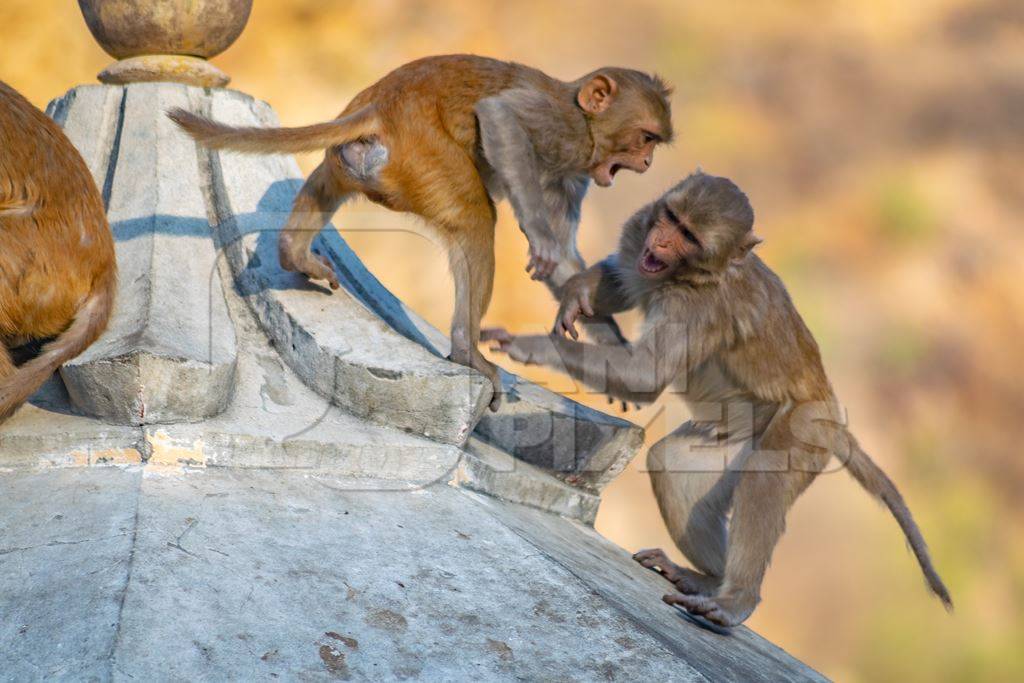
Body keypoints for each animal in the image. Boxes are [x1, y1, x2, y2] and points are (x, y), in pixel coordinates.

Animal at [166, 54, 671, 405]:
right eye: (645, 138)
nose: (648, 163)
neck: (584, 119)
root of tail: (382, 106)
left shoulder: (573, 173)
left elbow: (567, 265)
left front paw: (609, 346)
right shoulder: (560, 128)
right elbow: (501, 117)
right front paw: (539, 238)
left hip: (357, 160)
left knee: (324, 184)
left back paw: (294, 253)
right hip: (426, 160)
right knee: (476, 217)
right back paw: (467, 351)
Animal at [487, 172, 950, 630]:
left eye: (688, 236)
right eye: (672, 219)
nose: (662, 240)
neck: (695, 274)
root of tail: (834, 417)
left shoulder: (696, 309)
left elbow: (644, 376)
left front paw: (533, 346)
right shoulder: (640, 235)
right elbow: (623, 273)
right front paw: (580, 291)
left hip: (805, 428)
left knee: (764, 478)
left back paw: (735, 599)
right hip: (741, 432)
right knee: (672, 465)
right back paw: (707, 579)